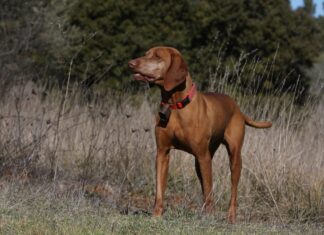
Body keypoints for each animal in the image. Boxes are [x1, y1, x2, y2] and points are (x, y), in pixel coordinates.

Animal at [128, 46, 270, 223]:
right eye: (146, 54)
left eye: (157, 56)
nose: (130, 63)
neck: (175, 105)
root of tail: (238, 108)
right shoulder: (162, 153)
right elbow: (159, 189)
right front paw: (156, 215)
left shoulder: (203, 156)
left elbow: (209, 190)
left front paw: (209, 217)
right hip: (201, 160)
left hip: (233, 157)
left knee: (232, 189)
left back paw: (230, 216)